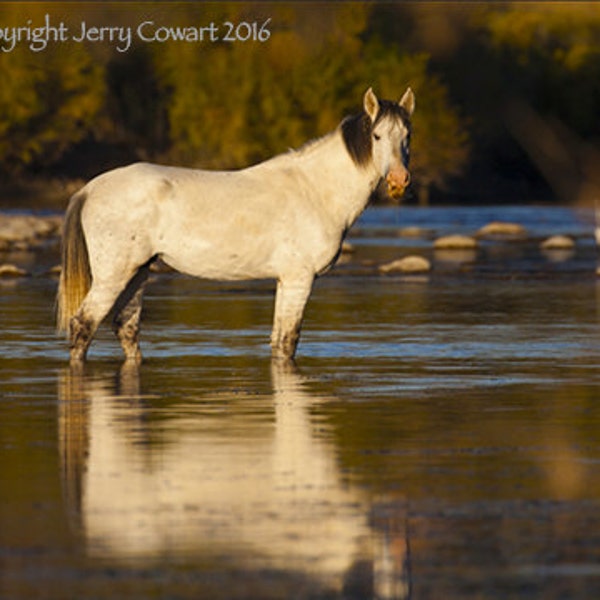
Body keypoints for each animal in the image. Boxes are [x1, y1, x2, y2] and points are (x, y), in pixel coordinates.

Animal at [56, 88, 414, 360]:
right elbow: (288, 341)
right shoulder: (299, 279)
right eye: (377, 136)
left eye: (407, 136)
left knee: (126, 328)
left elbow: (278, 341)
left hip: (138, 272)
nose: (398, 181)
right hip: (113, 276)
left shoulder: (285, 280)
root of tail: (89, 189)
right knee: (83, 326)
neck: (314, 189)